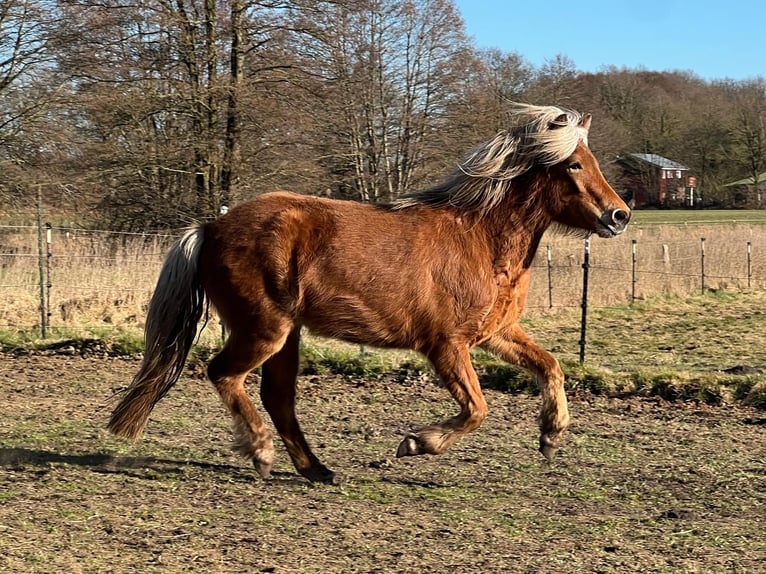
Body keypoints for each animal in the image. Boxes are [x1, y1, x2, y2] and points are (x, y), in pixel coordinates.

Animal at [108, 104, 631, 483]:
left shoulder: (495, 334)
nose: (619, 215)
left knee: (278, 397)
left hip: (287, 336)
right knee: (224, 375)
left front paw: (551, 435)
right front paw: (417, 444)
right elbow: (477, 408)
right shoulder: (446, 346)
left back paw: (316, 470)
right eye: (574, 165)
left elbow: (550, 366)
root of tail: (211, 227)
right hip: (264, 330)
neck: (481, 238)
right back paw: (261, 453)